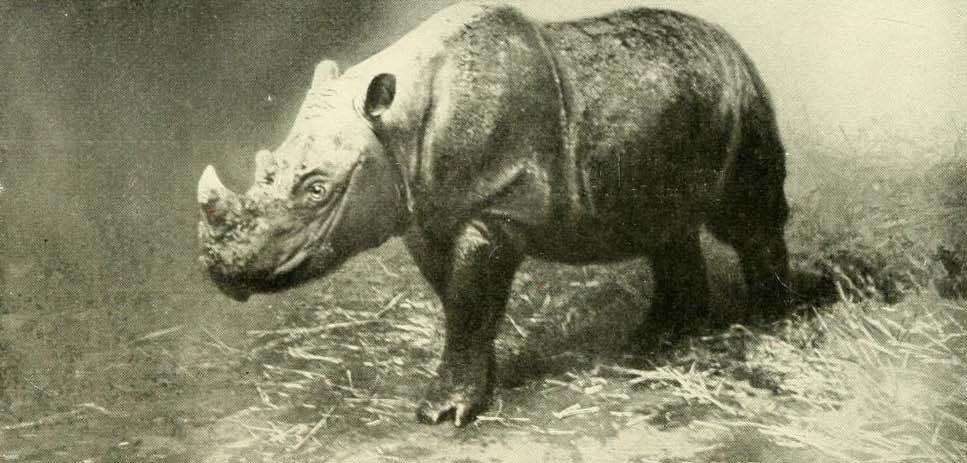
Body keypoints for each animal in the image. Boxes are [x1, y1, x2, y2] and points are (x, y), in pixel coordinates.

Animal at [197, 2, 792, 426]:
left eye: (318, 189)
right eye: (268, 168)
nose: (222, 274)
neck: (398, 126)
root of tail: (728, 42)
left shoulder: (494, 207)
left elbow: (468, 300)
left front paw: (440, 414)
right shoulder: (425, 213)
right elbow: (459, 300)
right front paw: (478, 384)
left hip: (742, 95)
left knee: (743, 219)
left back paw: (767, 323)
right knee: (666, 225)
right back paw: (657, 340)